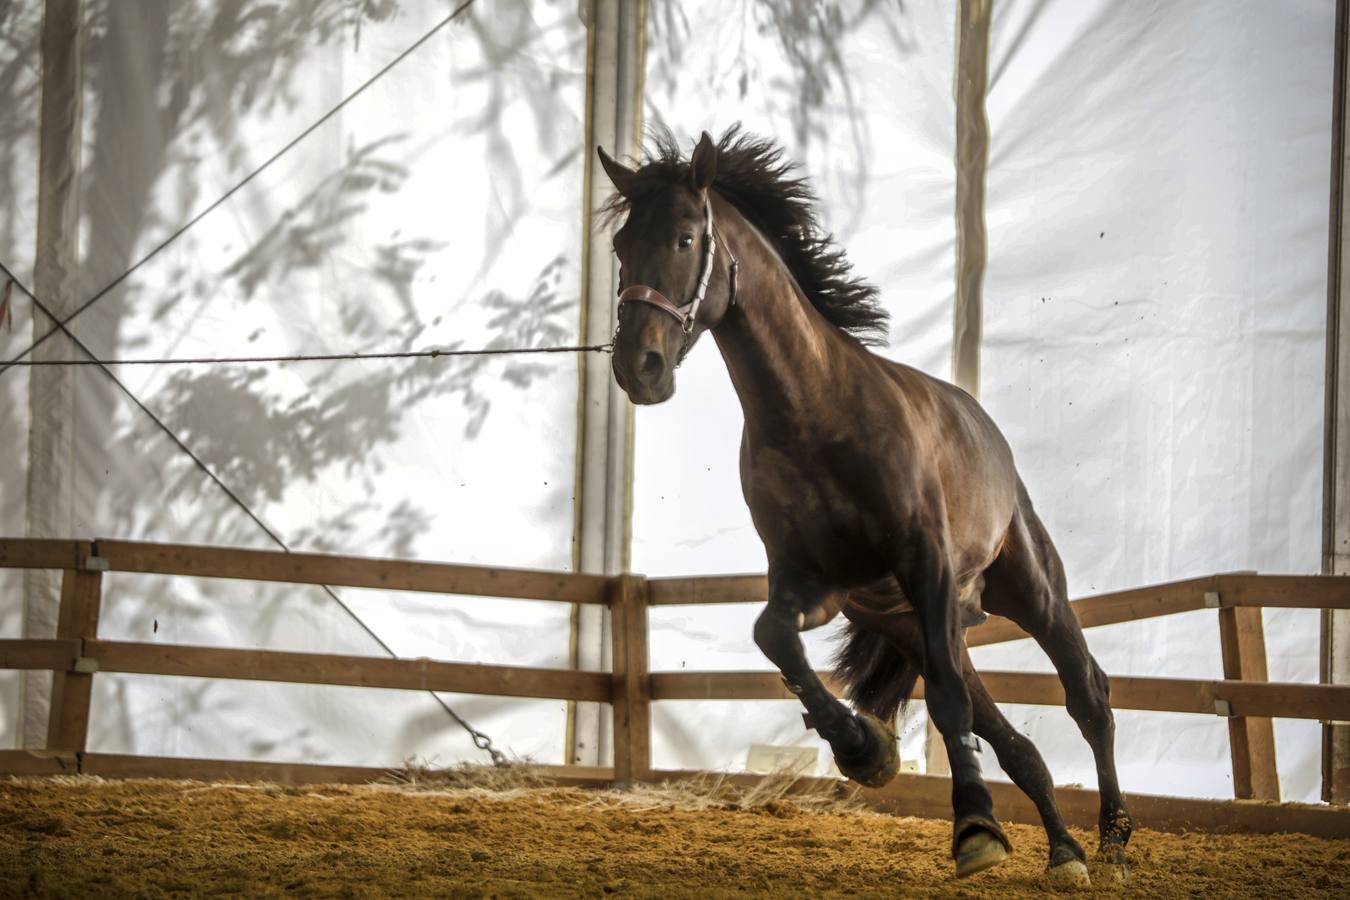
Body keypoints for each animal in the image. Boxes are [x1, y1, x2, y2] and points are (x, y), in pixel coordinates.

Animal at [596, 127, 1132, 886]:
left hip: (1029, 592)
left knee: (1089, 696)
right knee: (1011, 738)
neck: (815, 415)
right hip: (915, 624)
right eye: (620, 244)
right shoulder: (816, 582)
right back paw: (1065, 852)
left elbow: (949, 703)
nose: (637, 367)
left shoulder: (925, 563)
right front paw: (863, 749)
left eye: (684, 237)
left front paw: (974, 830)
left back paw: (1112, 844)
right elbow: (775, 638)